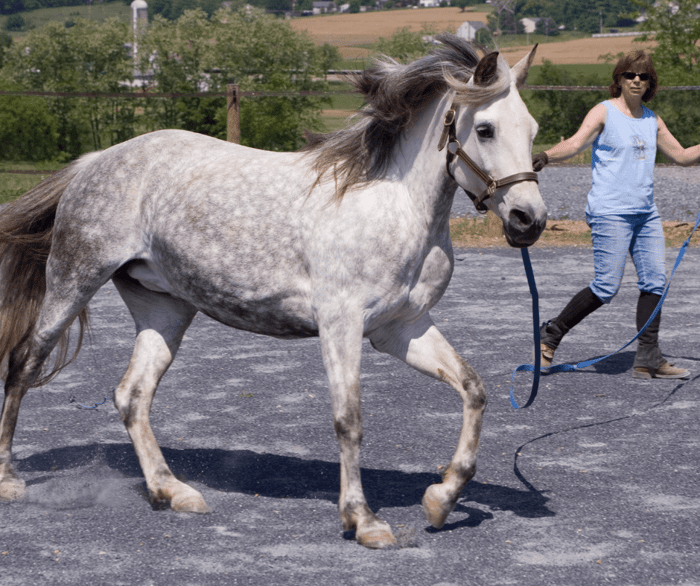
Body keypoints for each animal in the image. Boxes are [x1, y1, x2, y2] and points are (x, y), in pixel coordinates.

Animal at [0, 35, 546, 549]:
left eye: (533, 130)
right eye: (485, 129)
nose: (529, 220)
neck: (395, 206)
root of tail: (94, 161)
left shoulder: (401, 329)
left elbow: (473, 389)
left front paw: (441, 499)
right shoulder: (340, 324)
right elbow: (349, 420)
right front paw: (364, 521)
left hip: (164, 309)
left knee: (132, 395)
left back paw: (172, 491)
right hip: (73, 281)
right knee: (24, 366)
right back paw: (11, 480)